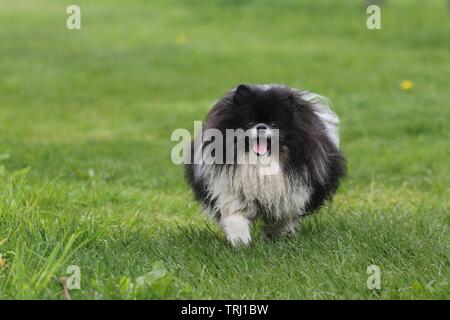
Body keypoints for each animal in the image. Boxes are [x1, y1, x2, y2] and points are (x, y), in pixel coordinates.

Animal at [185, 84, 346, 246]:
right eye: (250, 122)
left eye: (274, 124)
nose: (261, 127)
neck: (260, 162)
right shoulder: (231, 190)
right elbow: (235, 215)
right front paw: (240, 241)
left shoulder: (290, 193)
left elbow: (283, 216)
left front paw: (278, 237)